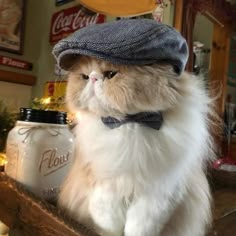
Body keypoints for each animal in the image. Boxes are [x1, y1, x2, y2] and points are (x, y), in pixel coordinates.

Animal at [58, 54, 216, 235]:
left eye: (110, 74)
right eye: (84, 77)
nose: (92, 78)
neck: (129, 124)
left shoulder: (157, 196)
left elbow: (138, 228)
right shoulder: (104, 192)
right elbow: (109, 227)